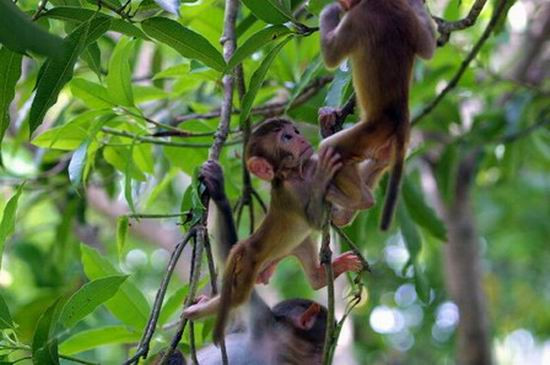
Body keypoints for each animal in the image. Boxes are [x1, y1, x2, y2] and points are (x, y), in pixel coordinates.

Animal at [320, 0, 436, 229]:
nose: (343, 6)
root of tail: (400, 121)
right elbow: (428, 49)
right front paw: (417, 3)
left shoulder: (357, 19)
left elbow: (331, 56)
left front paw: (330, 10)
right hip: (386, 145)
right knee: (378, 162)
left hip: (372, 131)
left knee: (331, 148)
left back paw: (362, 200)